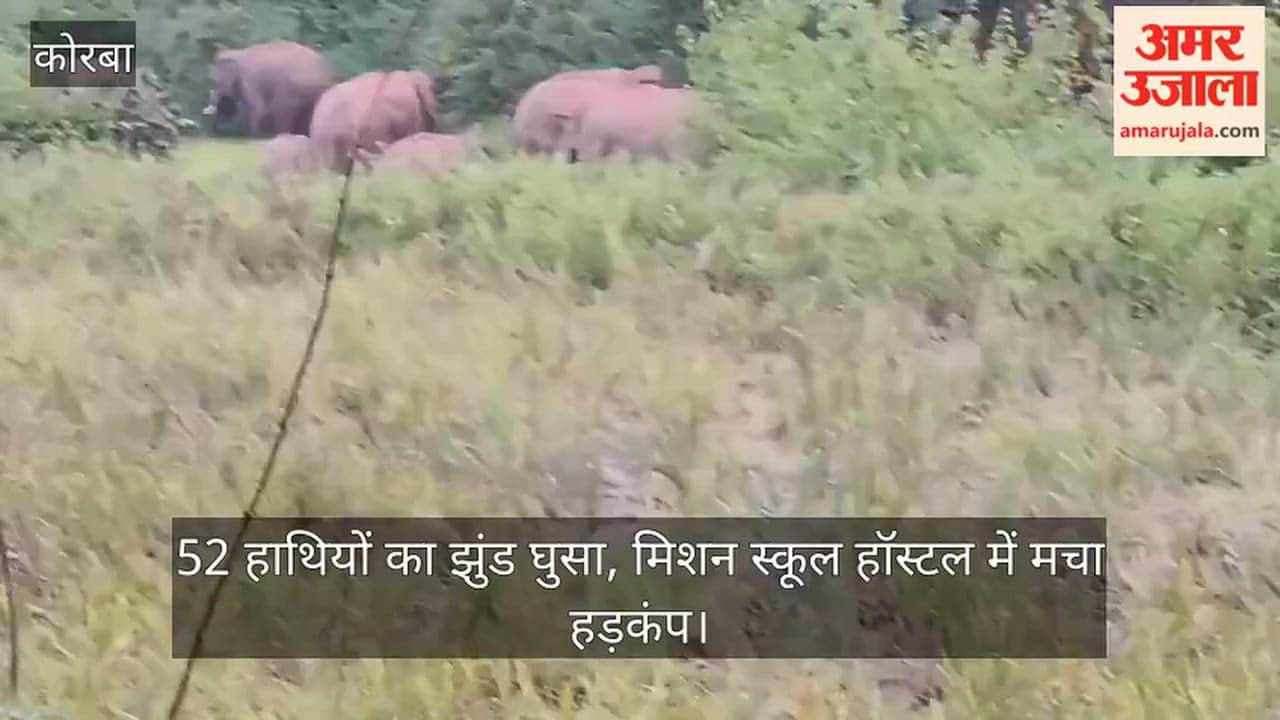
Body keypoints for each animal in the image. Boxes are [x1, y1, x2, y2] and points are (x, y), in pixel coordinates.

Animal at [203, 42, 336, 137]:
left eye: (215, 80)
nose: (207, 111)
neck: (238, 53)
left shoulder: (250, 78)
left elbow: (257, 106)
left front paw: (253, 136)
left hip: (294, 87)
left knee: (283, 109)